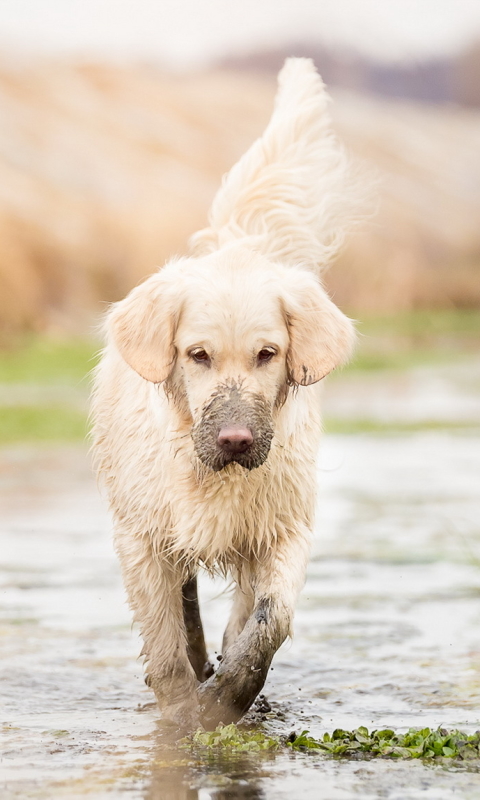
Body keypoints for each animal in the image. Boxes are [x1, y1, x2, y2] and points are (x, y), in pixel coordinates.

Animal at [90, 56, 362, 732]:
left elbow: (268, 620)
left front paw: (228, 700)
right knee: (185, 605)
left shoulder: (282, 528)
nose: (236, 440)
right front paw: (182, 720)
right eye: (197, 355)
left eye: (268, 354)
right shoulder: (142, 537)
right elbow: (165, 646)